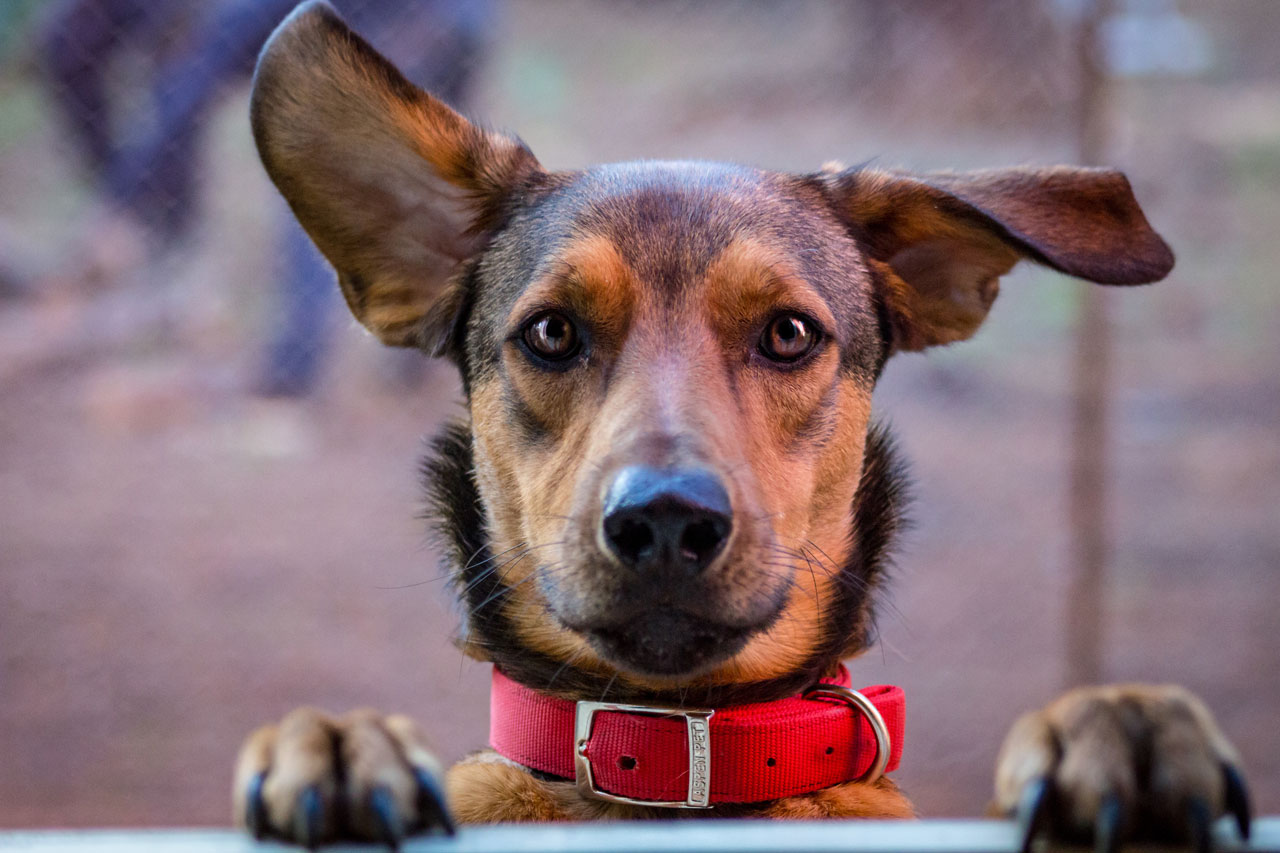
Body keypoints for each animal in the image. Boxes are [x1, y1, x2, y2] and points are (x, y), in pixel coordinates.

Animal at [230, 3, 1249, 845]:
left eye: (789, 333)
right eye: (552, 331)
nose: (665, 521)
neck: (678, 754)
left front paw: (1115, 723)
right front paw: (341, 742)